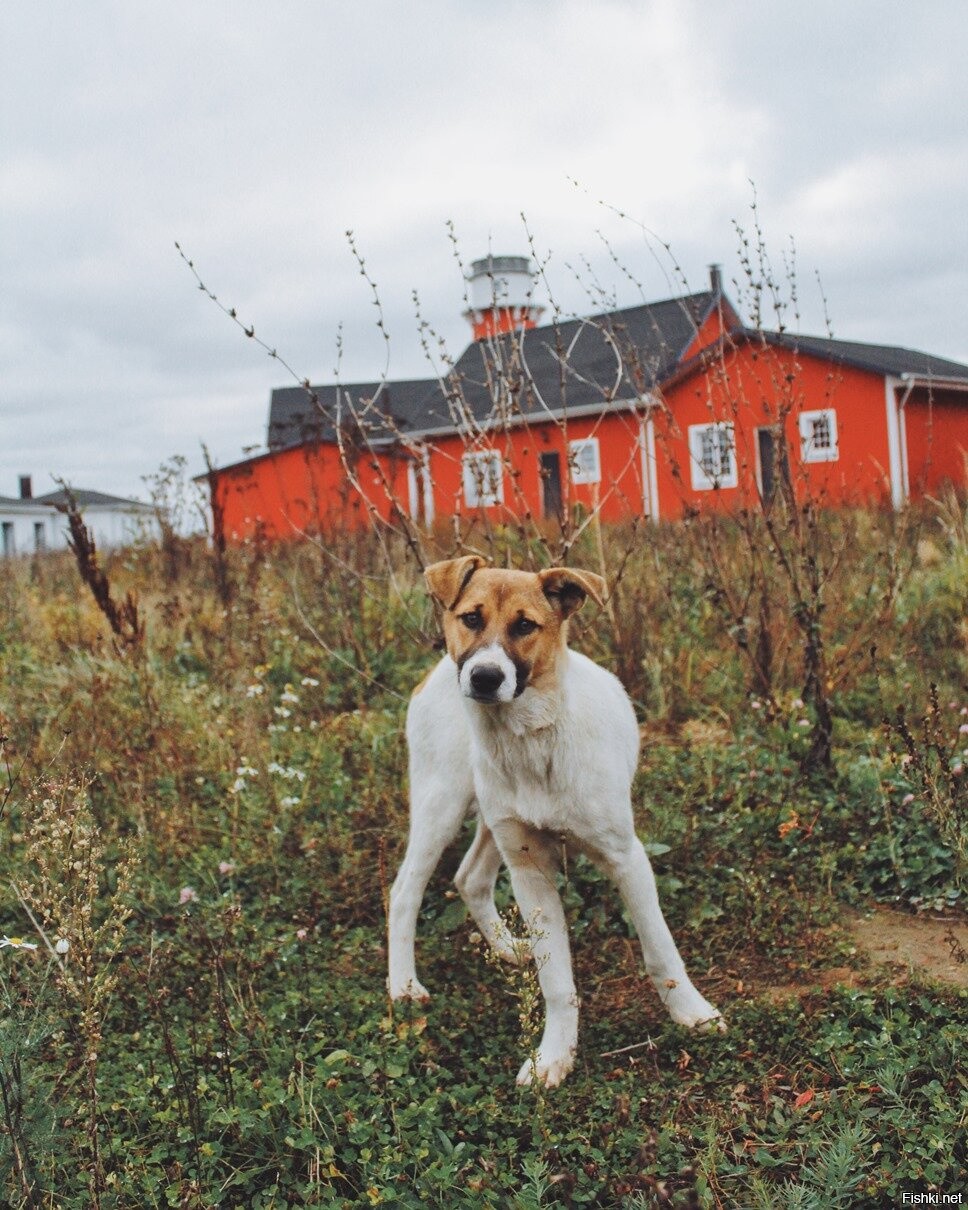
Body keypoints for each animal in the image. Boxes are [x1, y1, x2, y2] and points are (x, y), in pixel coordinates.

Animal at [384, 556, 716, 1089]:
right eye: (471, 618)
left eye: (525, 626)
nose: (483, 677)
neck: (533, 736)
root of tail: (435, 673)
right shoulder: (530, 872)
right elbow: (557, 980)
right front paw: (554, 1056)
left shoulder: (625, 857)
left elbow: (660, 950)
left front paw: (692, 1013)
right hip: (442, 803)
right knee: (405, 892)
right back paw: (404, 985)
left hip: (490, 821)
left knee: (469, 878)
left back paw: (506, 949)